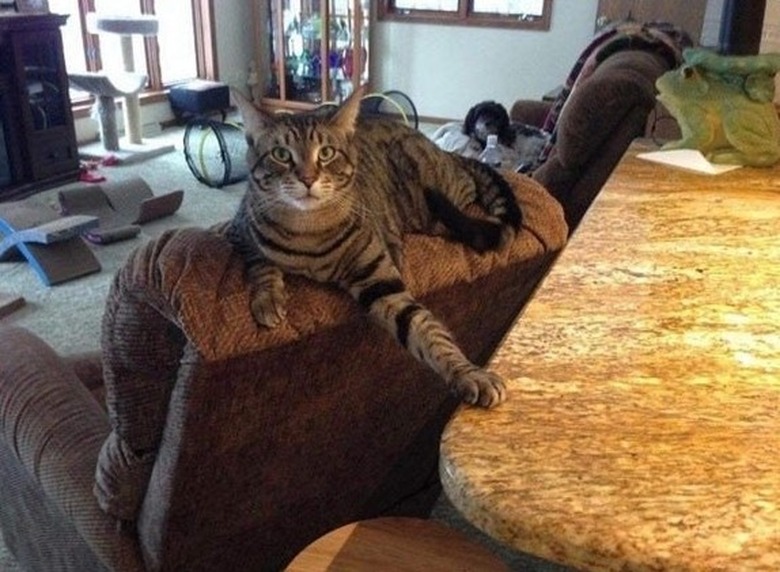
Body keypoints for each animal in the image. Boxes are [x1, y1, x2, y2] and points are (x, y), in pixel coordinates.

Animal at [225, 90, 524, 406]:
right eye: (281, 155)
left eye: (326, 153)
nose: (307, 178)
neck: (307, 230)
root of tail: (441, 150)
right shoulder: (237, 230)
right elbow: (261, 263)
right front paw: (268, 297)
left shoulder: (382, 282)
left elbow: (426, 329)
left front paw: (467, 372)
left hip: (431, 205)